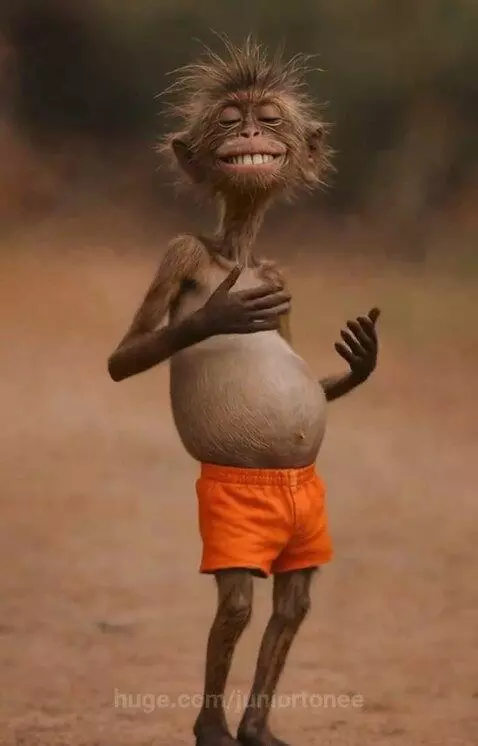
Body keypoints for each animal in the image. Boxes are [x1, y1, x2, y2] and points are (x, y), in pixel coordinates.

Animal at [107, 37, 381, 746]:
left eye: (270, 119)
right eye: (232, 120)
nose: (253, 132)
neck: (238, 250)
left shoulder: (279, 275)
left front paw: (362, 362)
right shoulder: (178, 253)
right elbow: (122, 358)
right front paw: (217, 314)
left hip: (308, 526)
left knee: (293, 603)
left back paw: (256, 729)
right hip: (234, 524)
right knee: (235, 607)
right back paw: (214, 730)